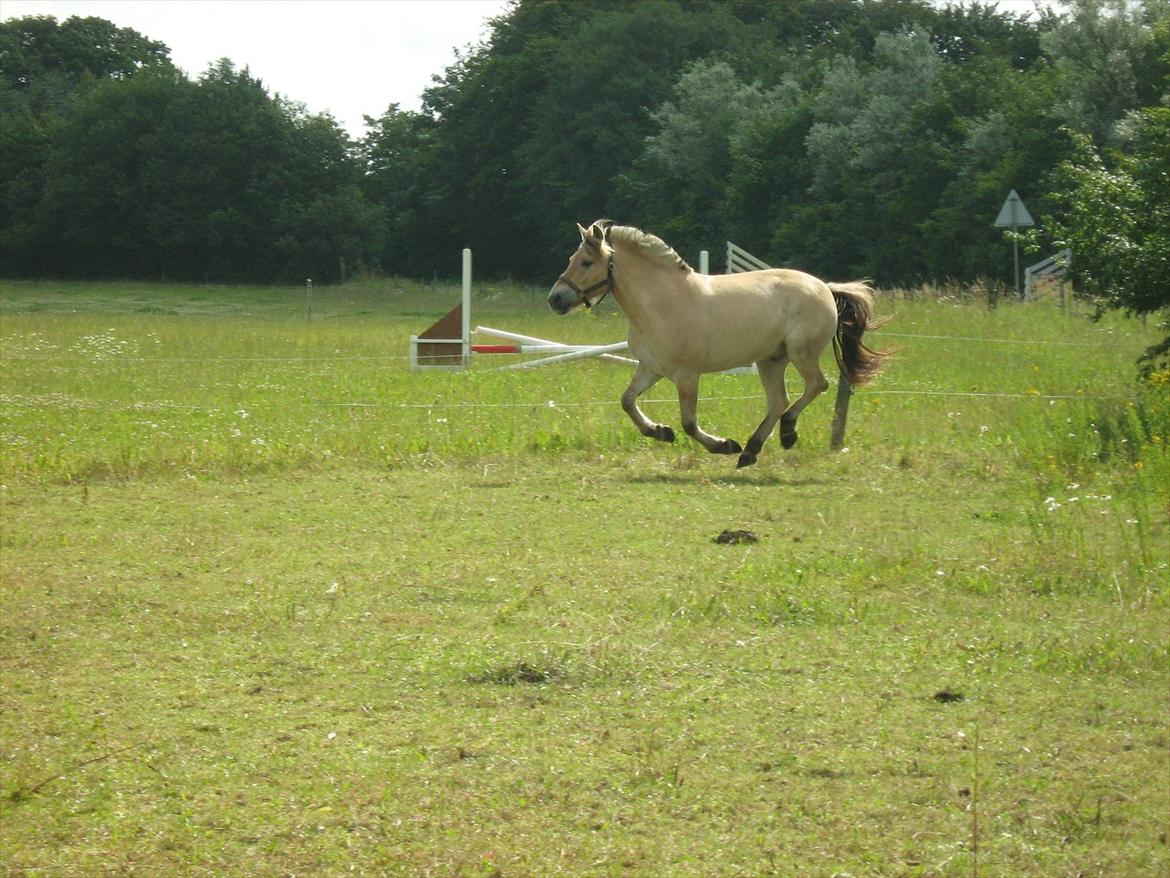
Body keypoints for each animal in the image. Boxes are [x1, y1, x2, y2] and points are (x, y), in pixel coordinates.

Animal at [547, 220, 884, 468]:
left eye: (586, 262)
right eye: (572, 259)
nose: (556, 299)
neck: (662, 303)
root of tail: (824, 287)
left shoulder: (687, 375)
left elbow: (688, 422)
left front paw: (722, 445)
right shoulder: (650, 368)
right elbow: (627, 402)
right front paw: (660, 432)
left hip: (801, 353)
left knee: (816, 385)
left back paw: (786, 434)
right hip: (771, 360)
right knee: (779, 401)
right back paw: (751, 450)